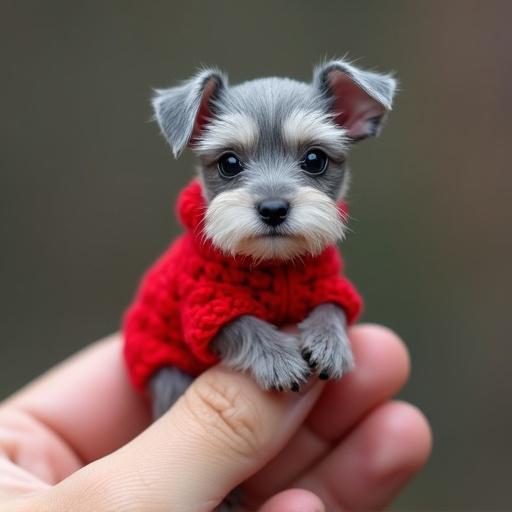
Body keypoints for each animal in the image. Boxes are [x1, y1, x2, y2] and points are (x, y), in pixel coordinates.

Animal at [124, 58, 396, 418]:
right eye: (229, 162)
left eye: (315, 159)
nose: (273, 209)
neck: (275, 262)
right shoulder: (205, 306)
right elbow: (243, 324)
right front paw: (279, 360)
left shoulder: (329, 283)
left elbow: (333, 307)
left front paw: (329, 343)